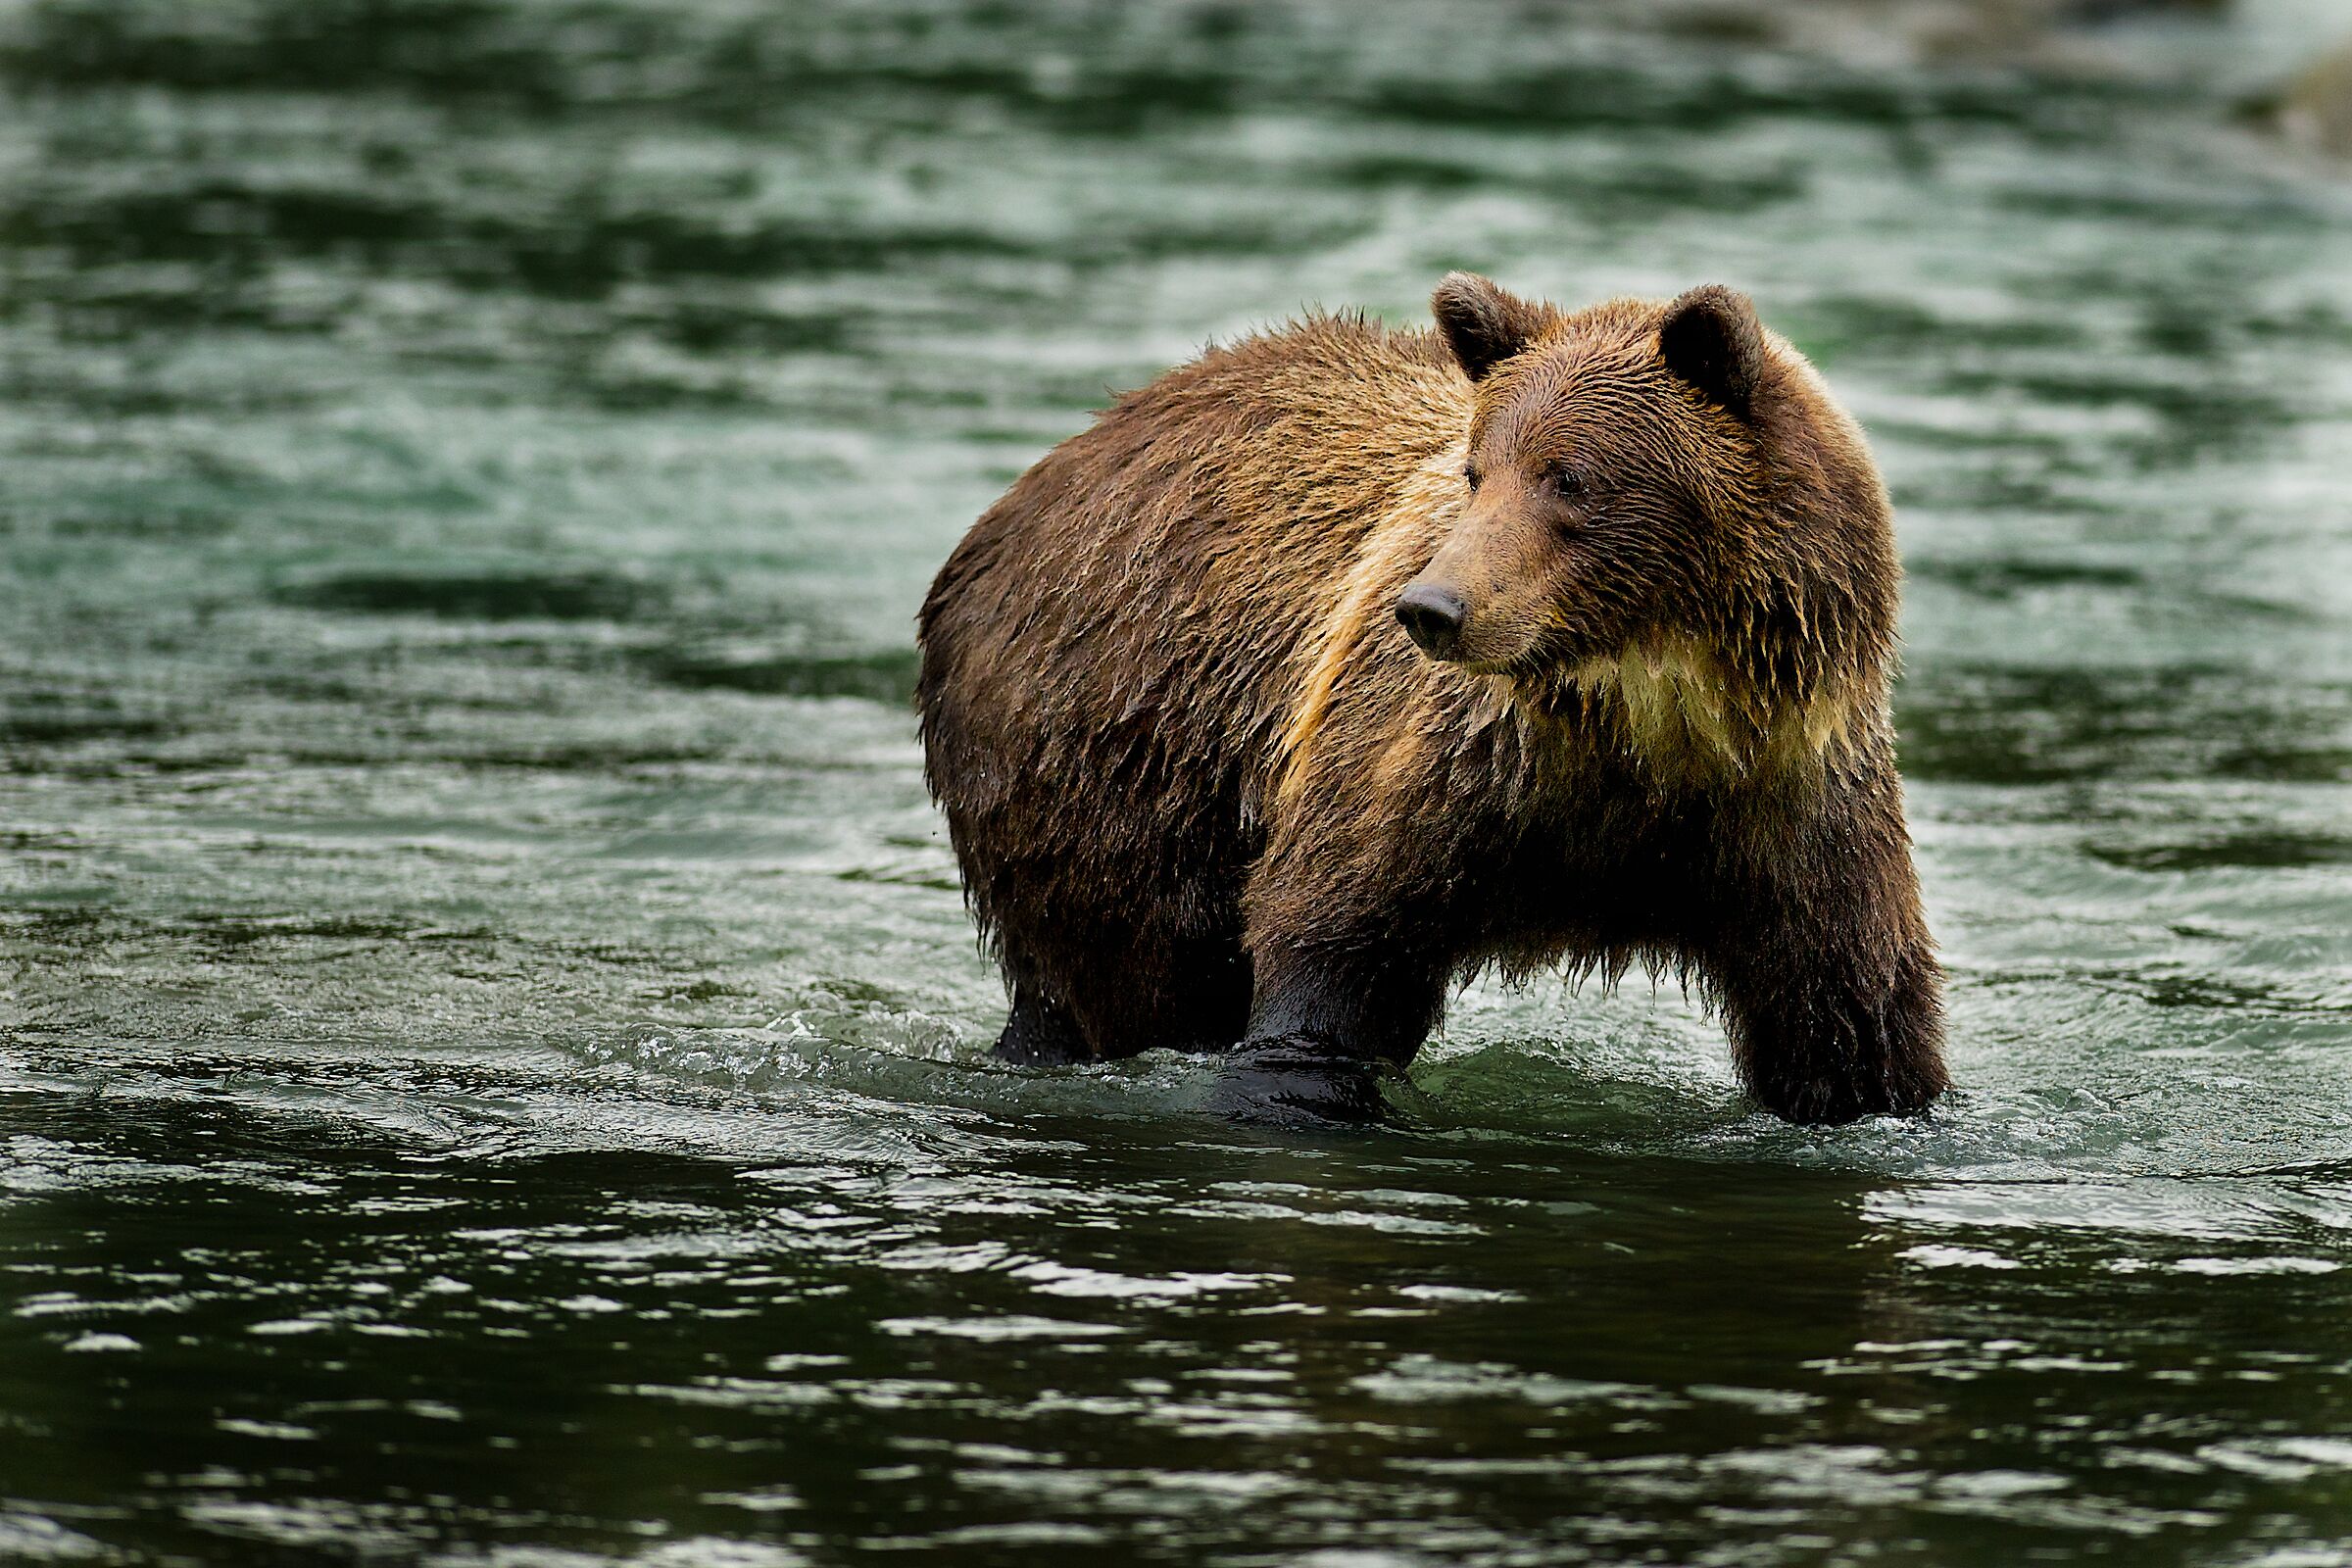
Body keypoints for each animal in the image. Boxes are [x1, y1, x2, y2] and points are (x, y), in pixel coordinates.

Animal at [916, 274, 1946, 1126]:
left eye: (1570, 477)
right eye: (1477, 470)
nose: (1433, 608)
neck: (1648, 718)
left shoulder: (1789, 796)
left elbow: (1848, 1020)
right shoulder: (1439, 764)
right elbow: (1332, 948)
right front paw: (1301, 1089)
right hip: (1114, 756)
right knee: (1127, 974)